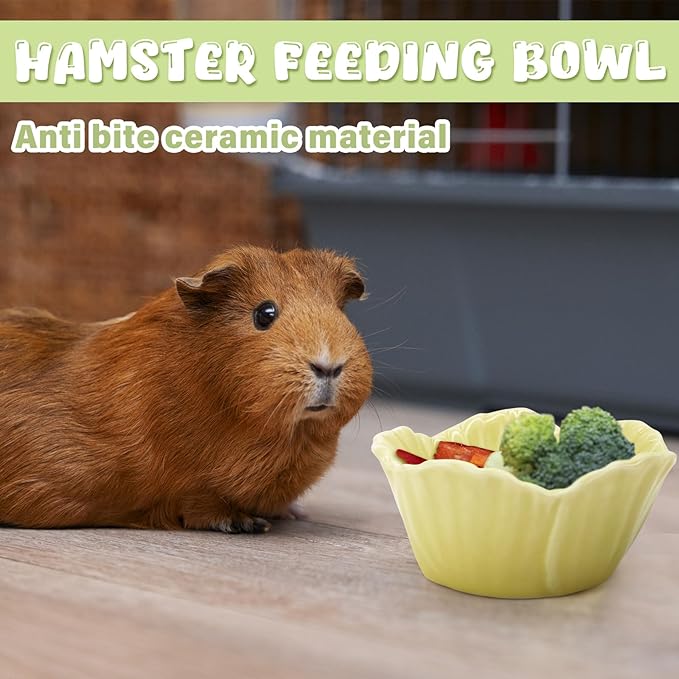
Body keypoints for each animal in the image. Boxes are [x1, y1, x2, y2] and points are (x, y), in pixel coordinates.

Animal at [0, 246, 372, 533]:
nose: (329, 365)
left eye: (339, 311)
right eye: (264, 313)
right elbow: (202, 505)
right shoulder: (190, 489)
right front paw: (249, 524)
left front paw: (294, 513)